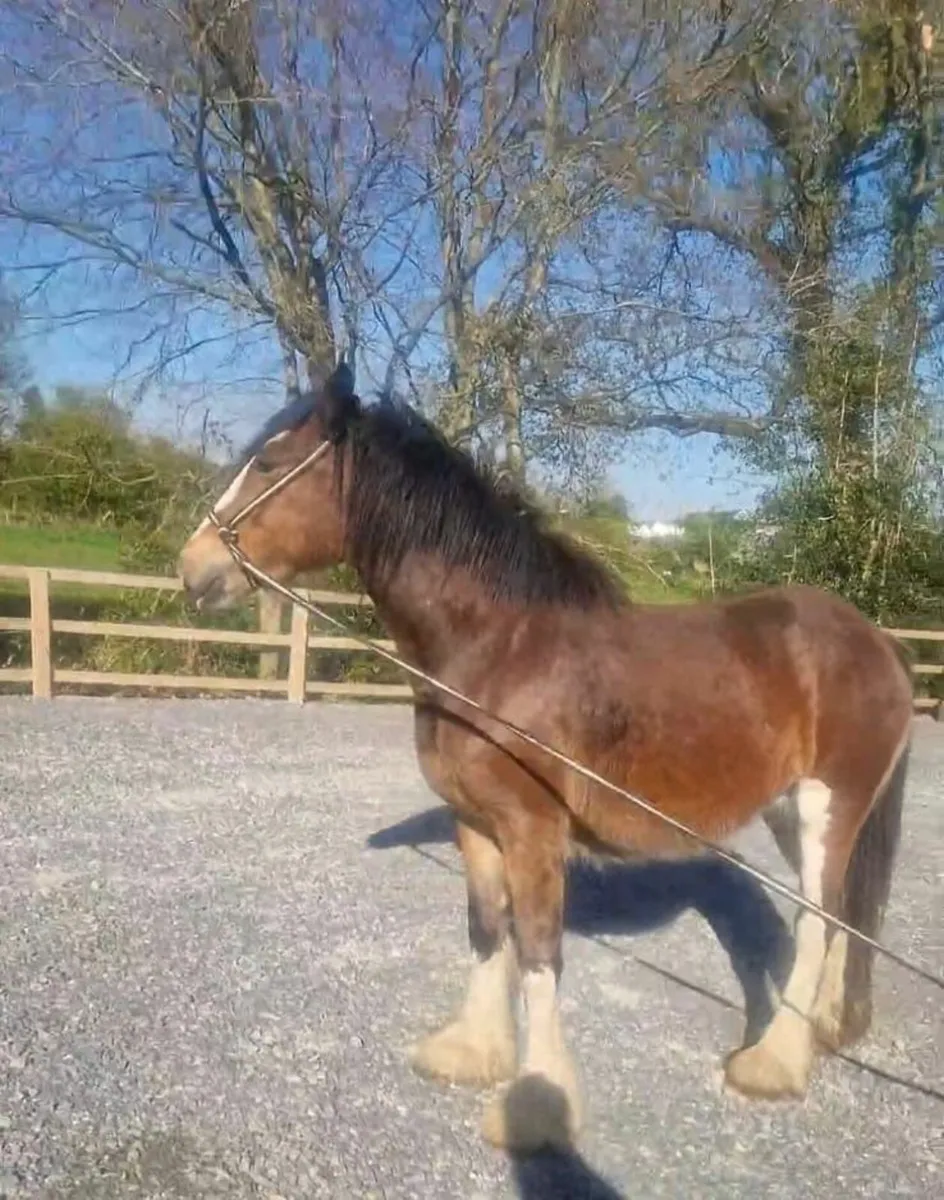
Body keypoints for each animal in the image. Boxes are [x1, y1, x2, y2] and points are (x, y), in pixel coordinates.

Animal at [177, 363, 914, 1154]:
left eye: (269, 463)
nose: (193, 568)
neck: (499, 648)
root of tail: (879, 643)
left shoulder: (533, 830)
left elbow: (536, 951)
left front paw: (537, 1102)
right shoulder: (476, 823)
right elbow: (486, 931)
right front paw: (472, 1052)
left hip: (828, 805)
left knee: (818, 922)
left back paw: (772, 1064)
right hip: (787, 810)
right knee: (838, 918)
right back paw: (822, 1034)